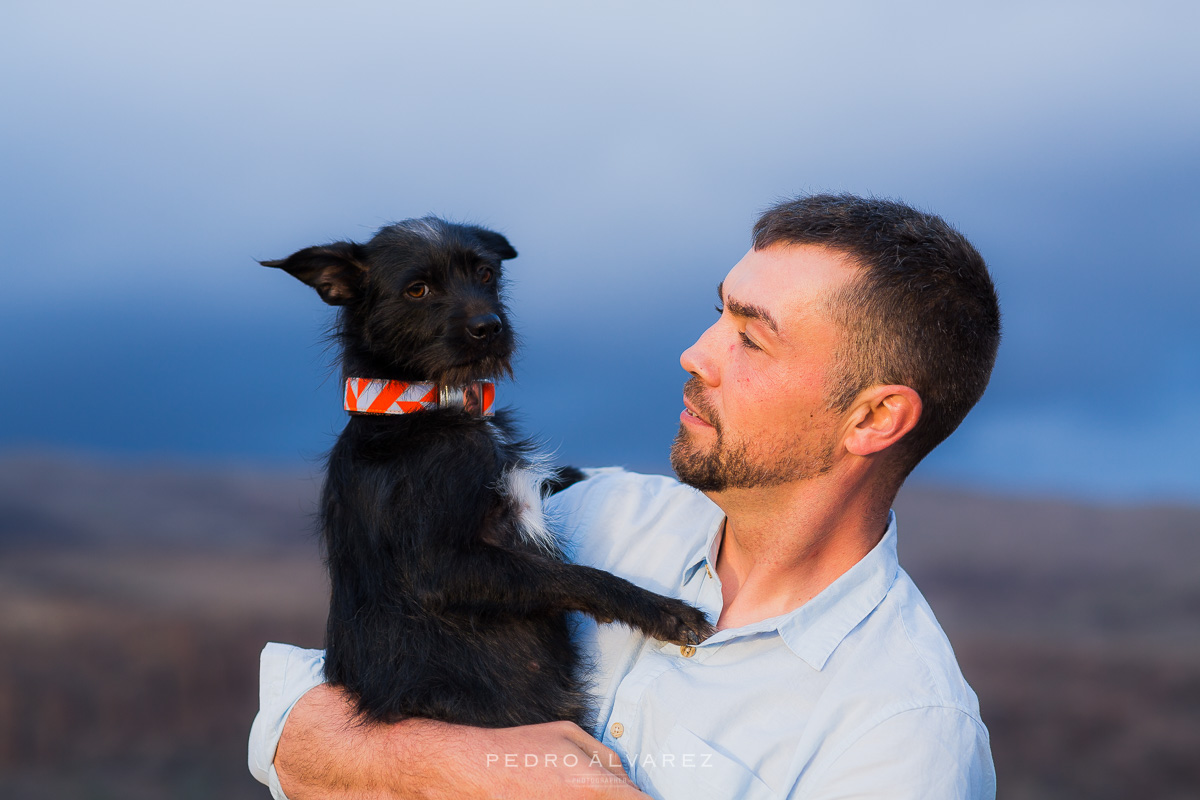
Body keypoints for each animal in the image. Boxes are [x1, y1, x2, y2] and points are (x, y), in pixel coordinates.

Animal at [262, 217, 710, 724]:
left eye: (485, 273)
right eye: (417, 289)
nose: (489, 326)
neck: (422, 406)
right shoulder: (440, 565)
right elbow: (569, 575)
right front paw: (664, 611)